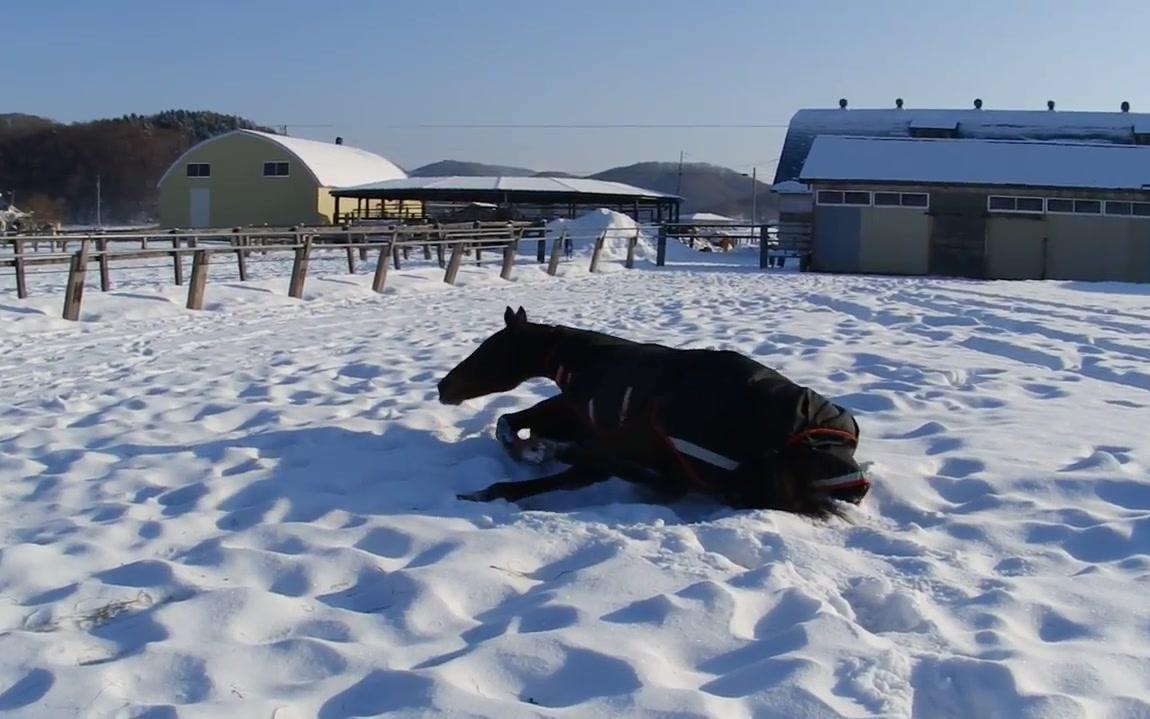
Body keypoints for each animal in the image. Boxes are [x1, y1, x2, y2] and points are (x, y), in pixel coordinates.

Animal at [434, 303, 864, 515]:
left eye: (489, 350)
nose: (442, 387)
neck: (588, 362)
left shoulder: (599, 456)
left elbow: (513, 482)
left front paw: (476, 493)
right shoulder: (573, 417)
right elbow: (509, 422)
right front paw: (533, 449)